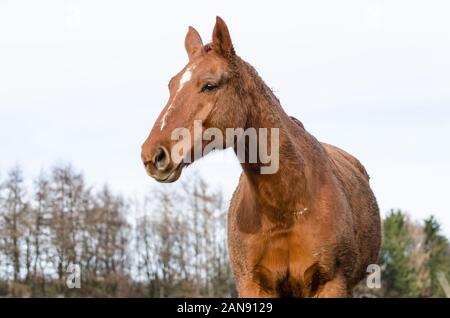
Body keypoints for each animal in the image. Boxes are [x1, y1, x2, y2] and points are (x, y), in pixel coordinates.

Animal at [141, 16, 380, 296]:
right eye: (171, 85)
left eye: (209, 85)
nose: (152, 155)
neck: (287, 208)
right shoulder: (253, 285)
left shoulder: (332, 283)